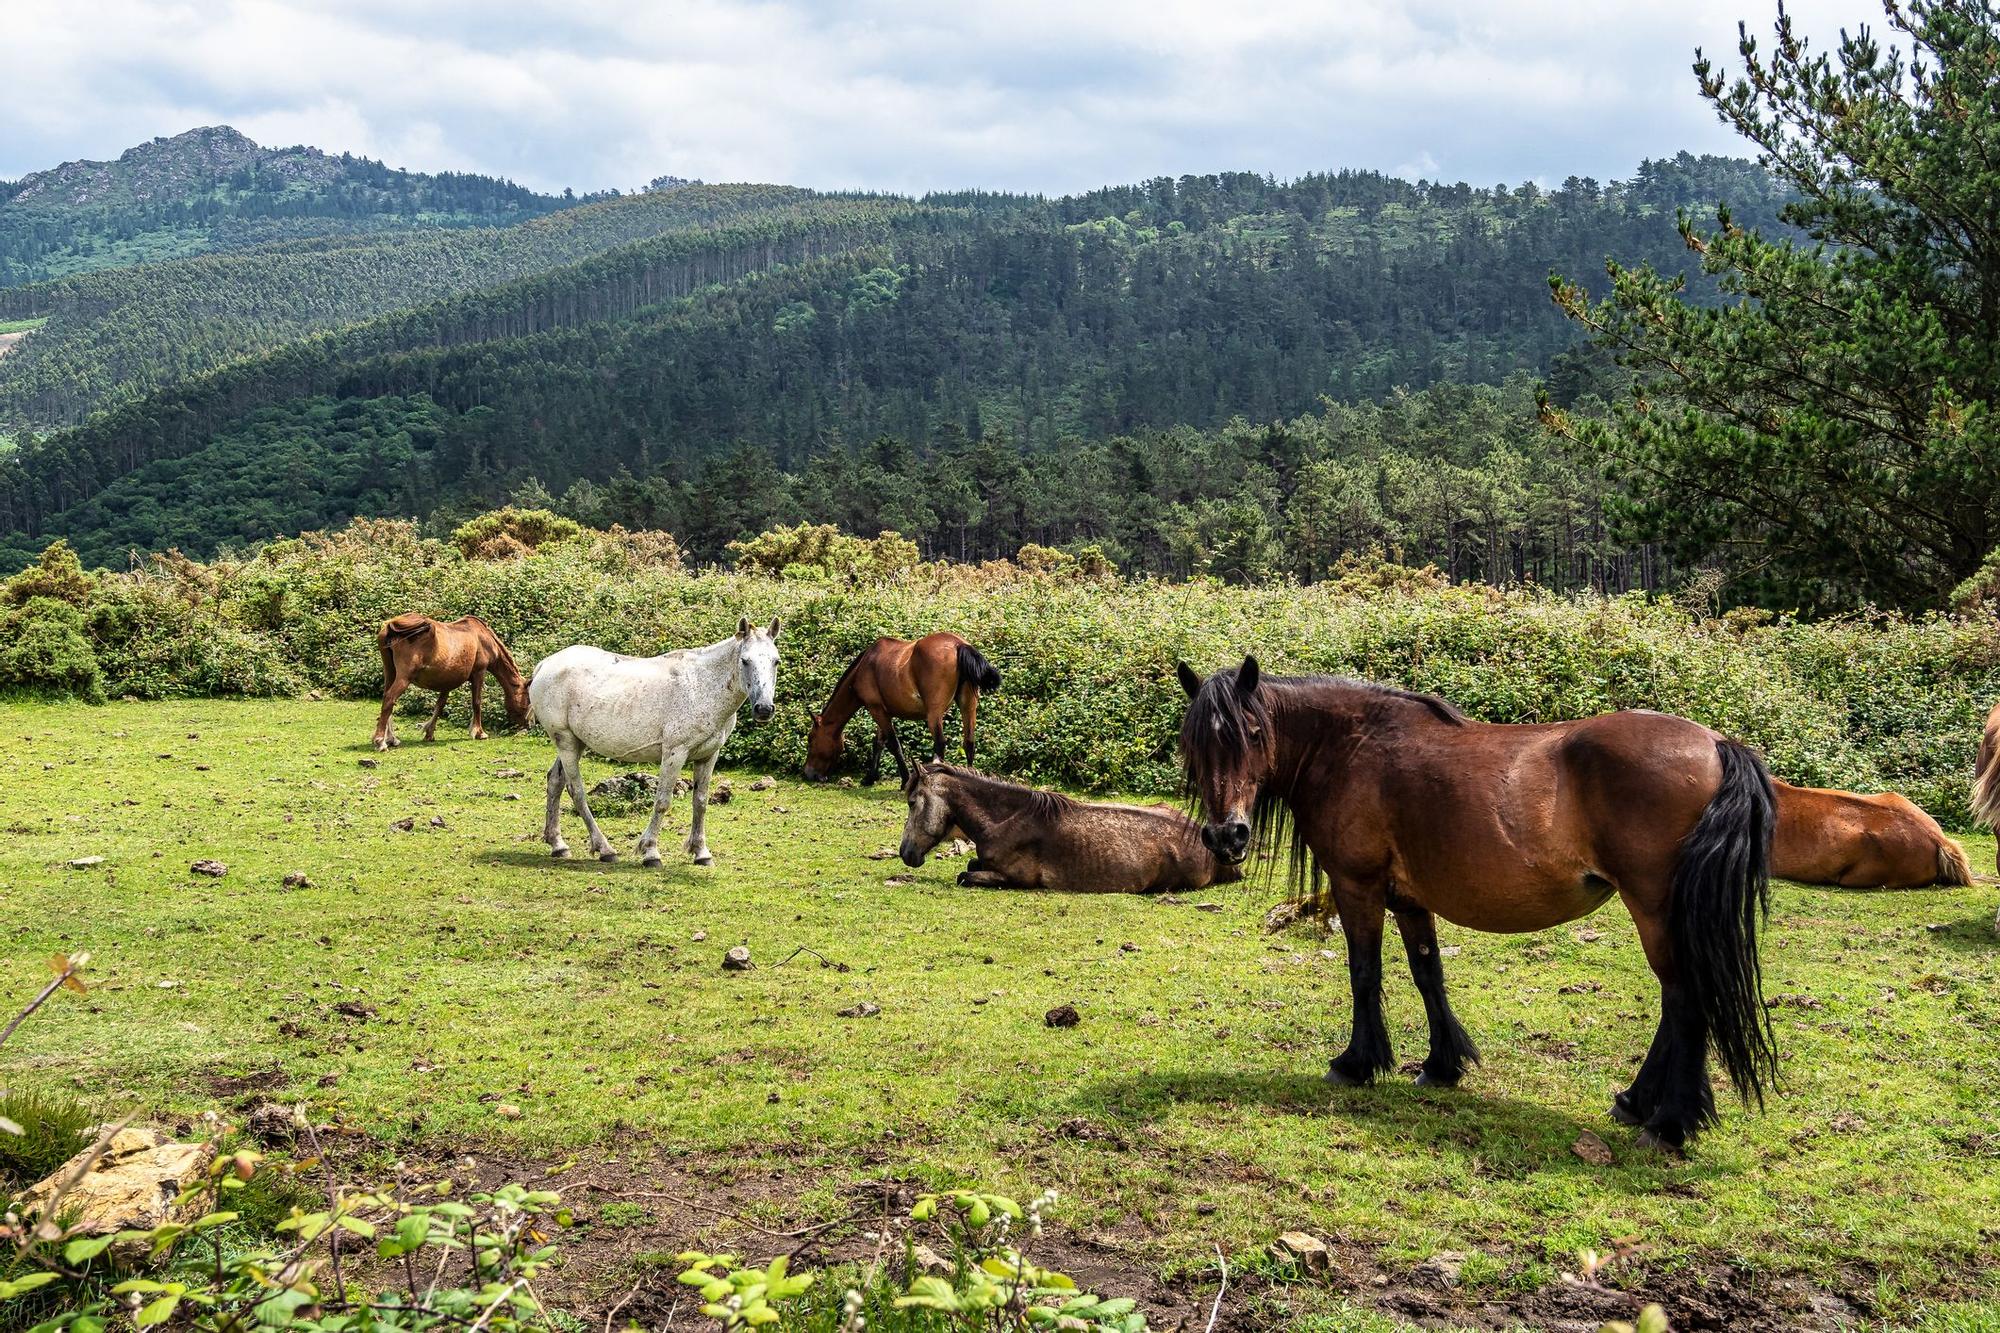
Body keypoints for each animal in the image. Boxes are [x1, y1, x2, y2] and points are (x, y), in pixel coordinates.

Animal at [373, 614, 530, 751]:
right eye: (526, 703)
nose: (526, 726)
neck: (483, 638)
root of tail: (392, 627)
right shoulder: (479, 673)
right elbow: (477, 702)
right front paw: (479, 732)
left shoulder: (447, 681)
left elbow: (440, 705)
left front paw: (429, 733)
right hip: (404, 678)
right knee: (390, 699)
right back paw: (380, 741)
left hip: (390, 672)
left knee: (387, 699)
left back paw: (391, 739)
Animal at [528, 618, 779, 866]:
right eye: (745, 661)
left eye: (776, 661)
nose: (764, 709)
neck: (702, 686)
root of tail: (545, 665)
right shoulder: (675, 753)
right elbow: (662, 802)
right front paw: (651, 852)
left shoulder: (708, 755)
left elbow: (700, 801)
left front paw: (701, 852)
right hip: (566, 742)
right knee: (576, 790)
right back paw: (605, 849)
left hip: (575, 742)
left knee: (555, 781)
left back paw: (558, 845)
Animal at [803, 633, 1002, 785]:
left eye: (810, 740)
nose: (808, 773)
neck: (864, 667)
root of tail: (959, 645)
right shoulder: (883, 711)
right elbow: (878, 743)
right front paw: (870, 777)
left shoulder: (876, 709)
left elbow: (893, 744)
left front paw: (905, 779)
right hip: (968, 706)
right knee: (969, 743)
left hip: (934, 714)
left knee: (940, 744)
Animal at [1176, 658, 1779, 1151]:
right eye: (1194, 744)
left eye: (1254, 734)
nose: (1227, 835)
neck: (1349, 748)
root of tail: (1717, 744)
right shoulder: (1408, 899)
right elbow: (1427, 974)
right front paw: (1443, 1066)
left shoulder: (1358, 886)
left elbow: (1364, 973)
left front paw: (1357, 1064)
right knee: (1679, 1002)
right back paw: (1636, 1103)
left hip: (1655, 910)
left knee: (1685, 1000)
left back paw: (1669, 1123)